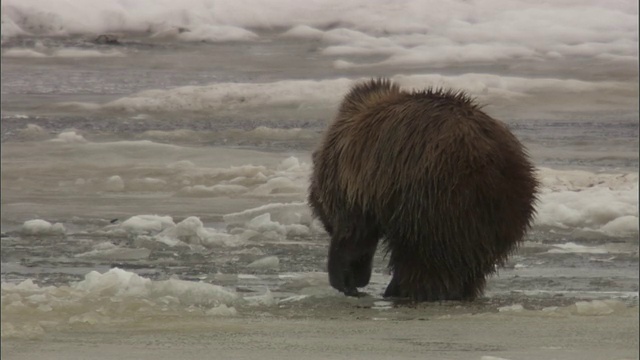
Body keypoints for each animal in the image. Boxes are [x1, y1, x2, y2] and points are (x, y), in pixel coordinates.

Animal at [308, 78, 536, 300]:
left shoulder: (358, 183)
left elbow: (355, 236)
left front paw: (348, 280)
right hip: (505, 207)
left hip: (432, 194)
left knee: (421, 254)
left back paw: (403, 288)